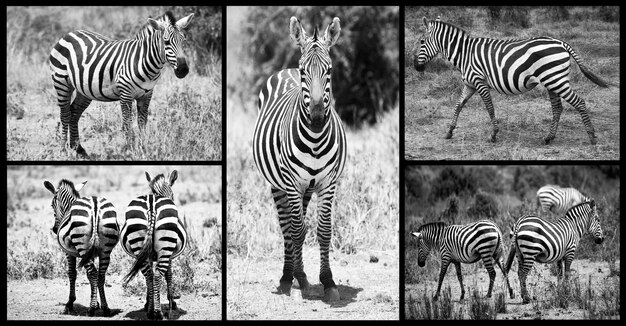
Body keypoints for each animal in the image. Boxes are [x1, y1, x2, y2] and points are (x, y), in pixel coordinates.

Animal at [43, 178, 119, 316]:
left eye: (52, 205)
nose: (55, 229)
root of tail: (95, 205)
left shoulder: (68, 253)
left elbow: (72, 273)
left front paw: (69, 304)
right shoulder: (92, 253)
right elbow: (90, 277)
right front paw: (96, 301)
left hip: (82, 246)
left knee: (93, 273)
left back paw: (91, 309)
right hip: (105, 250)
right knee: (100, 275)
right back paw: (105, 308)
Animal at [119, 171, 186, 320]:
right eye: (173, 195)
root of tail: (151, 204)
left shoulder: (147, 255)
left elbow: (149, 279)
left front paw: (147, 302)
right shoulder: (170, 257)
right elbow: (169, 275)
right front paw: (172, 303)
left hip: (138, 243)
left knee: (149, 275)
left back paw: (150, 311)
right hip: (166, 248)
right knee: (156, 276)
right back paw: (158, 312)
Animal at [250, 16, 346, 304]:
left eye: (329, 71)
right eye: (305, 73)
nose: (316, 118)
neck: (314, 140)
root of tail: (286, 69)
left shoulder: (328, 183)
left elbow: (323, 231)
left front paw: (328, 282)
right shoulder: (291, 183)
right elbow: (296, 231)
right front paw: (300, 278)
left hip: (307, 187)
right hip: (278, 184)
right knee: (287, 229)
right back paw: (287, 277)